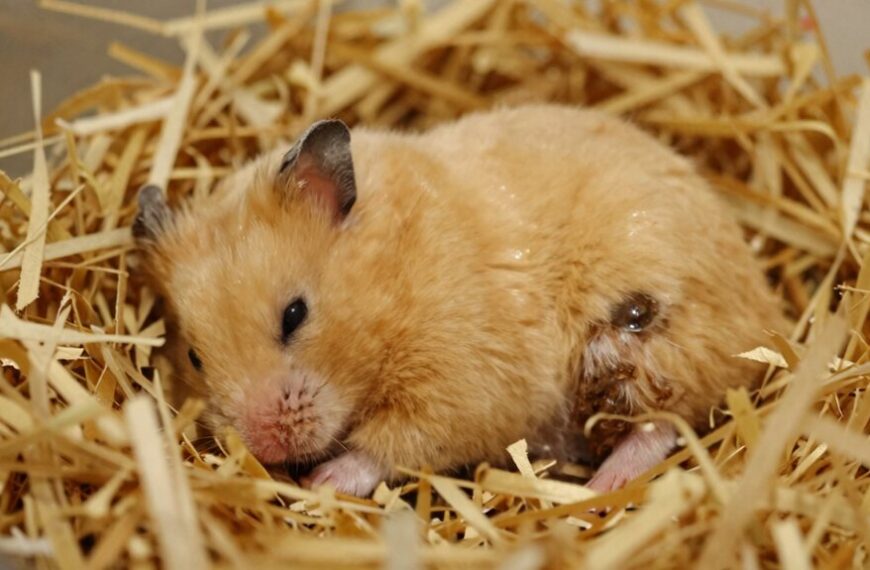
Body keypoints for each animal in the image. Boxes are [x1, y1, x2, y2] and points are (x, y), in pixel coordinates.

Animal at [134, 104, 784, 496]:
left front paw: (323, 482)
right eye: (194, 357)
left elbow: (390, 446)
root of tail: (769, 314)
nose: (267, 447)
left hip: (655, 340)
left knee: (663, 423)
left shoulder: (459, 390)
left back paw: (599, 486)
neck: (393, 286)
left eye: (295, 315)